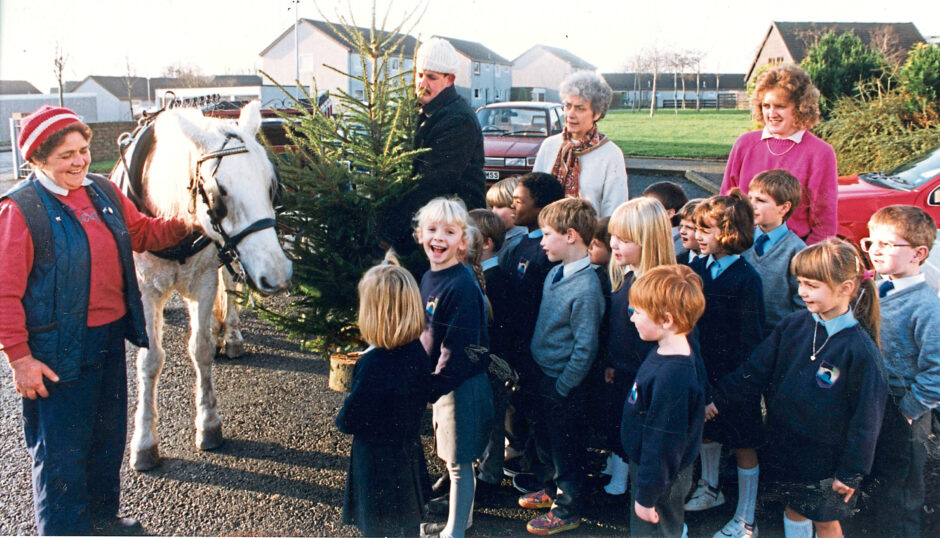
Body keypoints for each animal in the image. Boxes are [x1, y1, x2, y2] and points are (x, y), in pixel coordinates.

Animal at [111, 100, 292, 468]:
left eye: (270, 185)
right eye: (218, 192)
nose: (278, 275)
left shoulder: (205, 283)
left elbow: (201, 348)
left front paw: (209, 424)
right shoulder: (145, 291)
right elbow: (149, 361)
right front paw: (144, 442)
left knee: (231, 291)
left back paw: (231, 336)